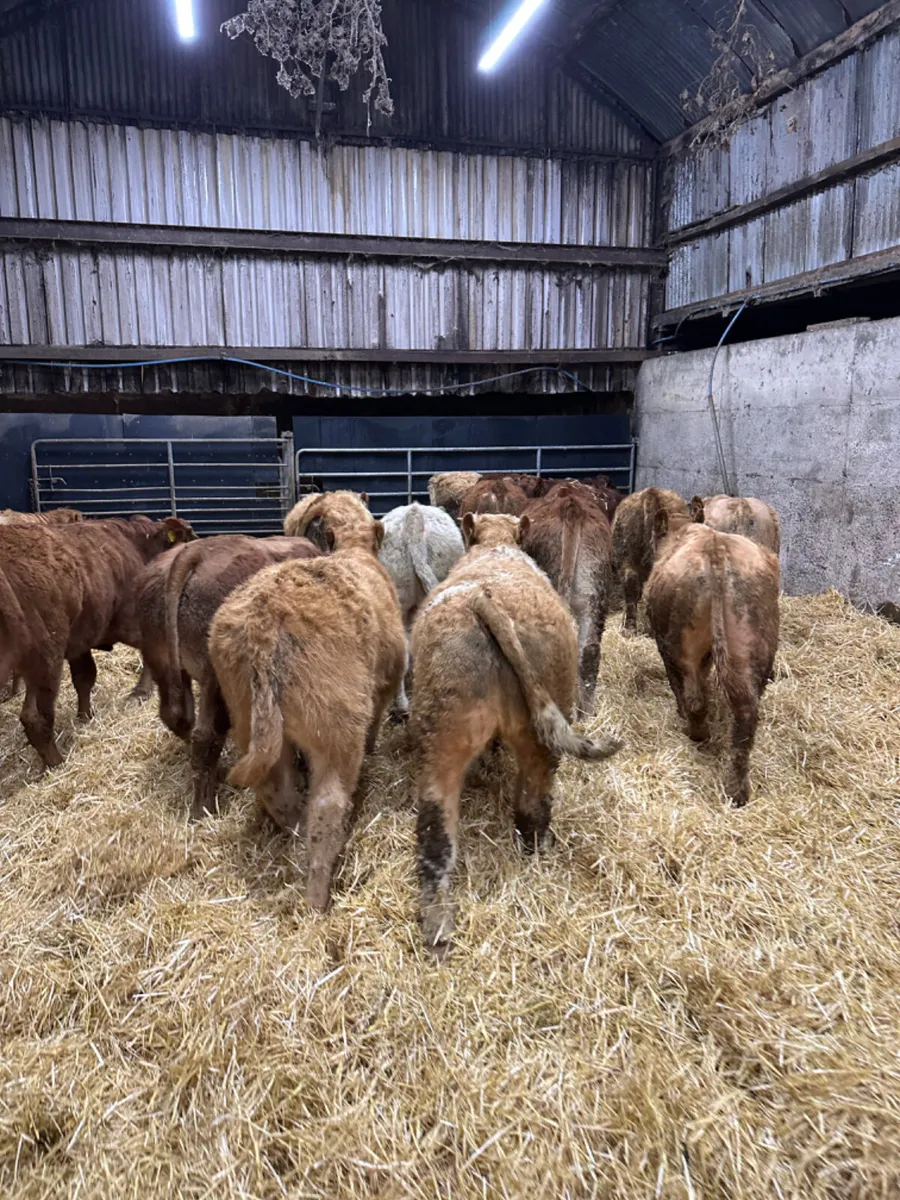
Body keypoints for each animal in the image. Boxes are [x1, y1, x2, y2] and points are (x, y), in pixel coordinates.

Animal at [0, 515, 193, 767]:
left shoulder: (81, 640)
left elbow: (84, 678)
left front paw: (85, 716)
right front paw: (141, 692)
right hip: (45, 656)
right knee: (36, 717)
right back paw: (57, 764)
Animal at [135, 533, 321, 820]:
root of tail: (195, 553)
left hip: (162, 663)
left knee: (178, 717)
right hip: (216, 678)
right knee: (205, 735)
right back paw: (203, 807)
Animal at [208, 512, 406, 912]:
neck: (355, 552)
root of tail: (264, 625)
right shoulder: (385, 685)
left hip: (251, 720)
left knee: (276, 789)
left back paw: (295, 827)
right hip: (335, 726)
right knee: (327, 806)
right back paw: (318, 896)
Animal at [409, 511, 622, 955]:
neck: (495, 545)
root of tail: (483, 599)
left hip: (447, 738)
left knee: (439, 830)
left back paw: (437, 927)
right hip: (526, 735)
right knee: (529, 806)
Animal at [646, 510, 780, 807]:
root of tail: (717, 552)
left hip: (681, 644)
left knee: (695, 699)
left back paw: (697, 733)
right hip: (751, 641)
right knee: (746, 712)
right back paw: (738, 791)